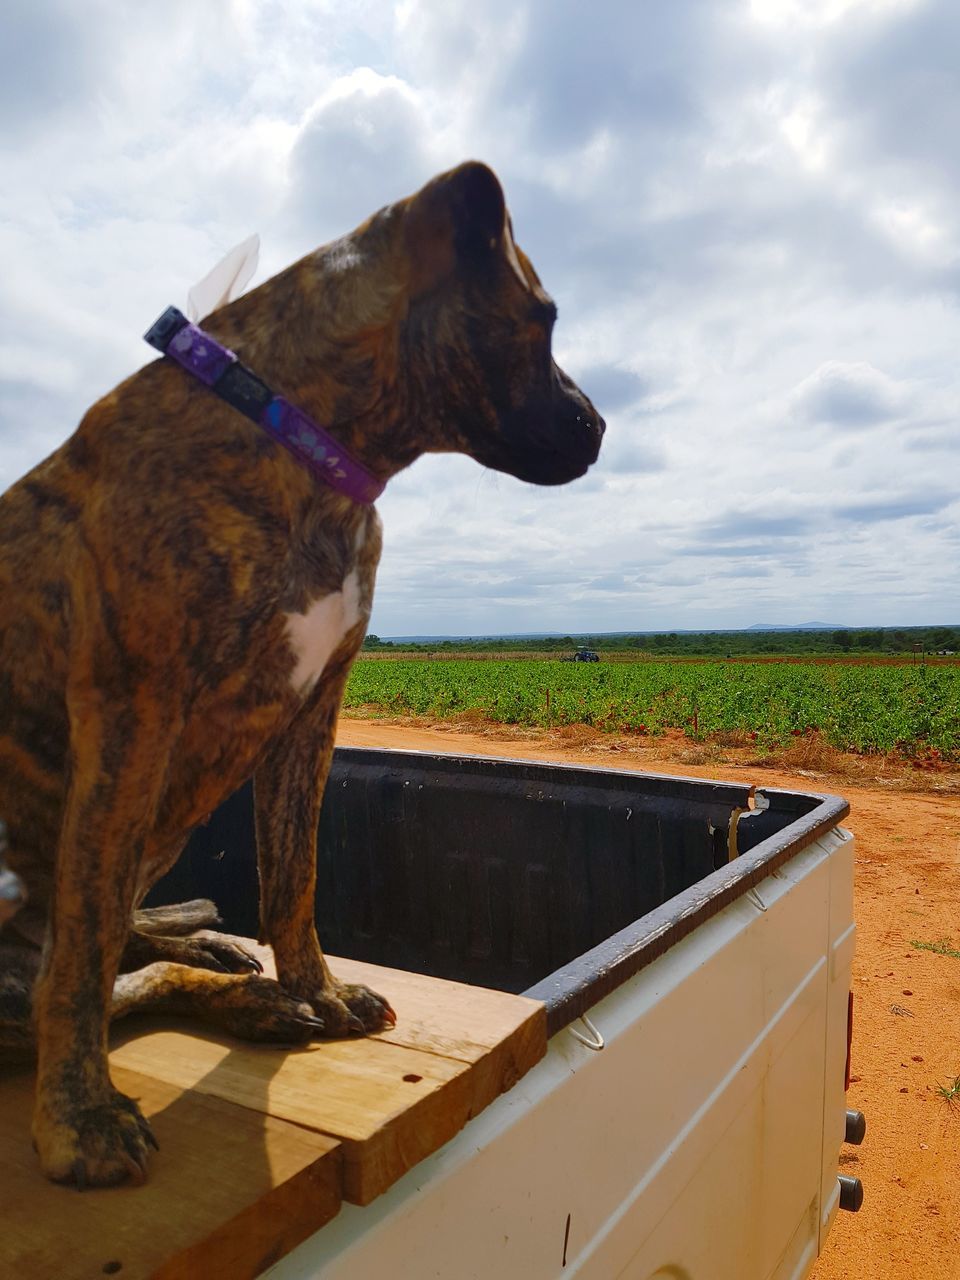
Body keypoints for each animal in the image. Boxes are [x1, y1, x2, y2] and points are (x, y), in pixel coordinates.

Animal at [0, 162, 601, 1187]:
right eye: (544, 316)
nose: (599, 428)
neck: (307, 445)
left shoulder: (312, 709)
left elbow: (294, 878)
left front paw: (313, 986)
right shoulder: (129, 712)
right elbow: (82, 955)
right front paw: (78, 1120)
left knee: (128, 963)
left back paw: (240, 980)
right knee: (83, 965)